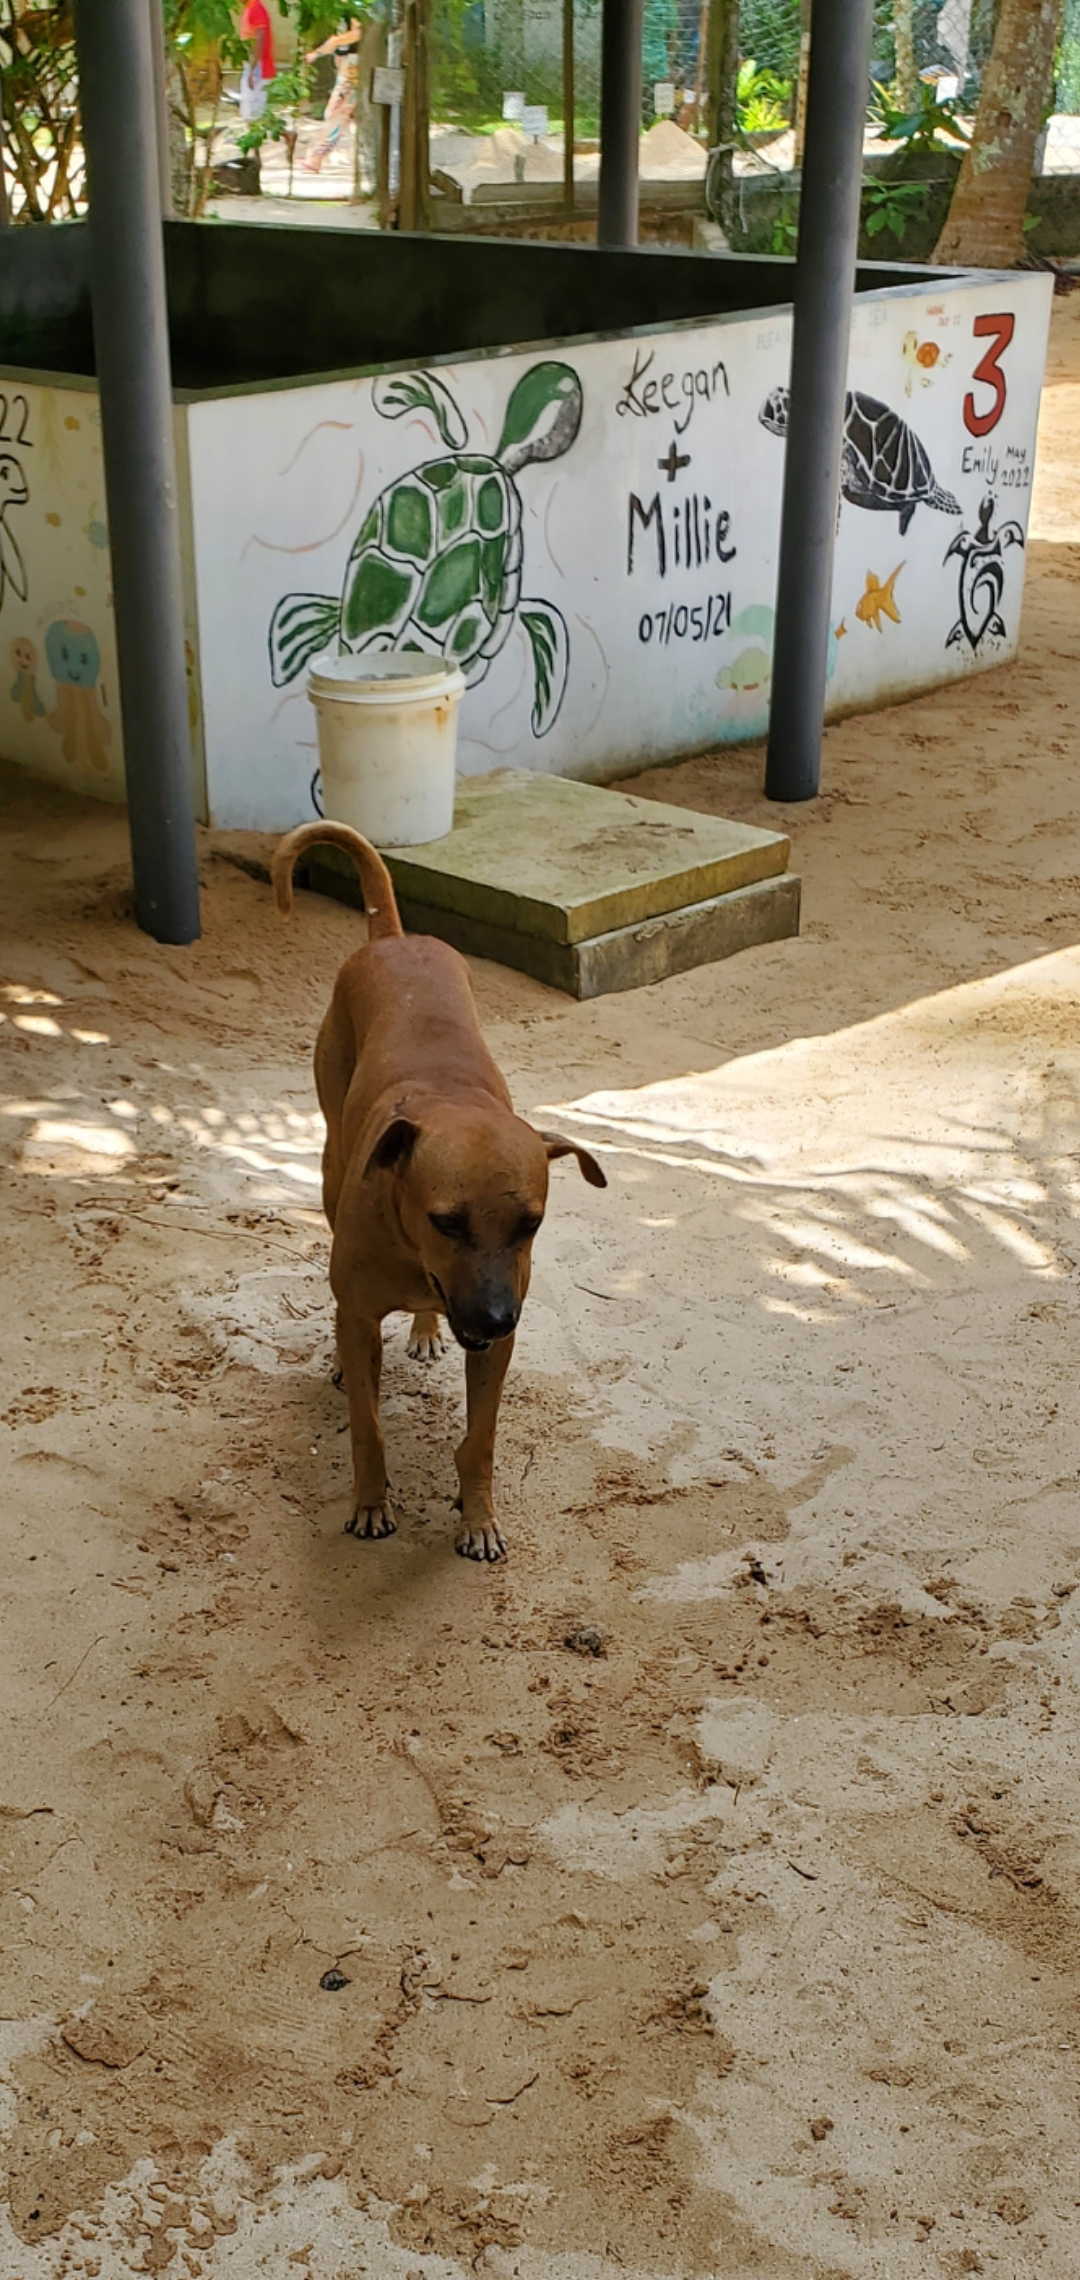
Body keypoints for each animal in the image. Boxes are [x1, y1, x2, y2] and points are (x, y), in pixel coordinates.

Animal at [272, 822, 606, 1561]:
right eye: (445, 1221)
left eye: (532, 1224)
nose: (495, 1317)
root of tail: (394, 938)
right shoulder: (369, 1307)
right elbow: (367, 1425)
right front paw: (371, 1504)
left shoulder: (495, 1346)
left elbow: (480, 1440)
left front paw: (477, 1516)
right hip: (330, 1163)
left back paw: (425, 1330)